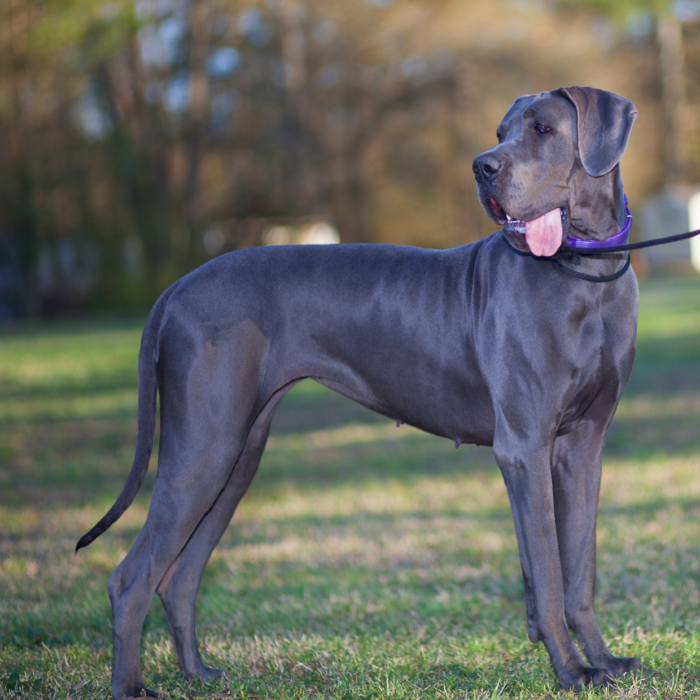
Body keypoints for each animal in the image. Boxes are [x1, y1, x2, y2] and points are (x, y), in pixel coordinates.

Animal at [79, 85, 644, 696]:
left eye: (542, 129)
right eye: (501, 132)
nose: (482, 167)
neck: (585, 271)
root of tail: (174, 291)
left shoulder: (581, 447)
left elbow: (577, 570)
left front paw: (602, 660)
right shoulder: (524, 447)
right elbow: (548, 570)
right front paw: (572, 670)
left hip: (237, 455)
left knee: (178, 577)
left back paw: (199, 672)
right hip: (204, 451)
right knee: (130, 578)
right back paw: (131, 686)